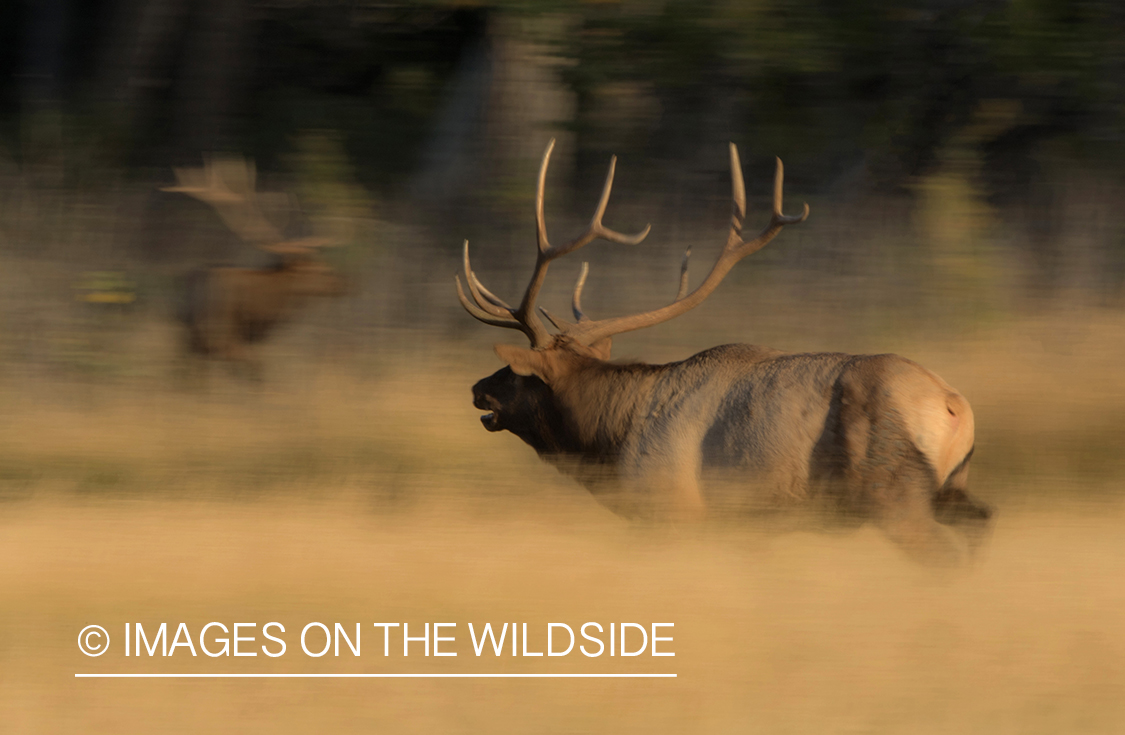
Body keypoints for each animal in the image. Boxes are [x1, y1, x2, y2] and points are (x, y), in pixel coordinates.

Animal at [163, 158, 344, 380]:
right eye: (320, 269)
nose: (345, 282)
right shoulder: (229, 335)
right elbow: (255, 371)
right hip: (213, 326)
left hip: (189, 332)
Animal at [456, 140, 994, 565]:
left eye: (516, 372)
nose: (478, 388)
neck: (612, 438)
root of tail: (954, 406)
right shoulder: (744, 527)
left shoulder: (672, 509)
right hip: (953, 487)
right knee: (981, 525)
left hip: (893, 492)